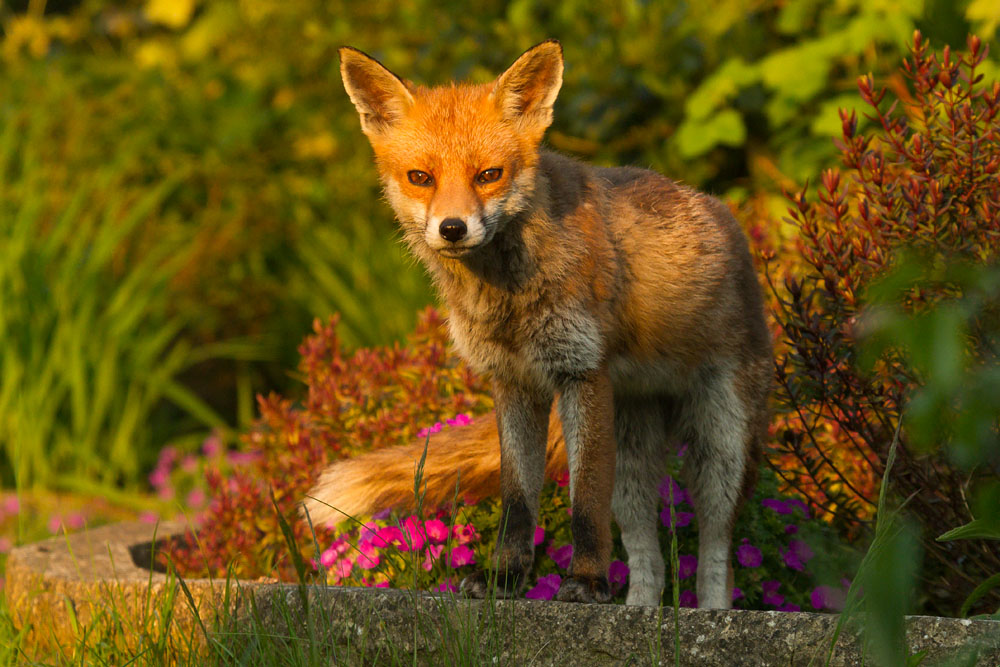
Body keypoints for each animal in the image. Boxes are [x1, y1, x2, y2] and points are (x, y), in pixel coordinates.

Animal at [304, 39, 772, 609]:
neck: (506, 300)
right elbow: (518, 499)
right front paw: (504, 579)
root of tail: (729, 219)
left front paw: (587, 582)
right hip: (632, 457)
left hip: (720, 446)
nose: (452, 229)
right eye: (421, 178)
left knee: (716, 550)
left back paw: (708, 610)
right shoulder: (513, 383)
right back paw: (639, 608)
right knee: (648, 555)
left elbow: (585, 503)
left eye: (489, 174)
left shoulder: (581, 372)